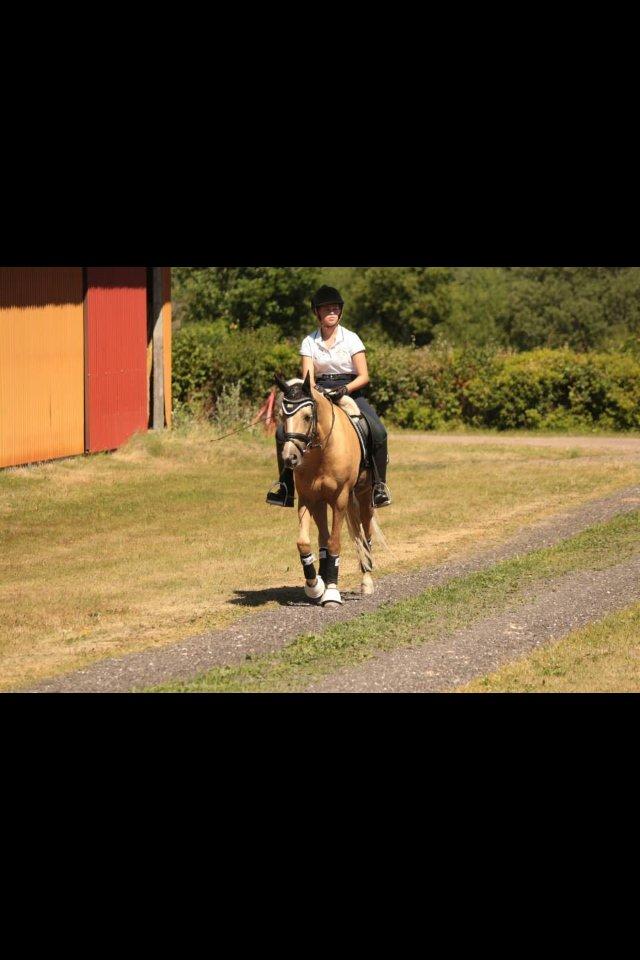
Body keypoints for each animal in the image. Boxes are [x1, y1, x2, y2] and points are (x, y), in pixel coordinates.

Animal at [274, 372, 387, 608]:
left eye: (308, 416)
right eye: (282, 416)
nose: (290, 458)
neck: (322, 451)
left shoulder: (340, 500)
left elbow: (335, 543)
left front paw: (332, 593)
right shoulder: (308, 499)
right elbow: (304, 543)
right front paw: (315, 586)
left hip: (364, 497)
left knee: (365, 536)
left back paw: (366, 581)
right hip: (320, 503)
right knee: (322, 540)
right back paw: (323, 580)